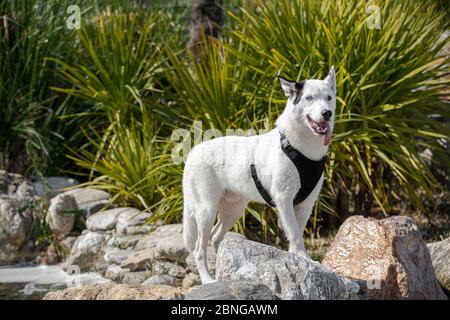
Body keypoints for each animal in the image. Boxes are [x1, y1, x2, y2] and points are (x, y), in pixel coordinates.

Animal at [182, 65, 334, 282]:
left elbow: (296, 232)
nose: (327, 113)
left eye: (329, 98)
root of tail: (193, 152)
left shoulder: (306, 204)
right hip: (206, 211)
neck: (300, 147)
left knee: (216, 237)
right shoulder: (284, 199)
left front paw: (298, 261)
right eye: (309, 98)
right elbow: (295, 234)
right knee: (199, 249)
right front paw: (303, 259)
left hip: (233, 210)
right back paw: (207, 279)